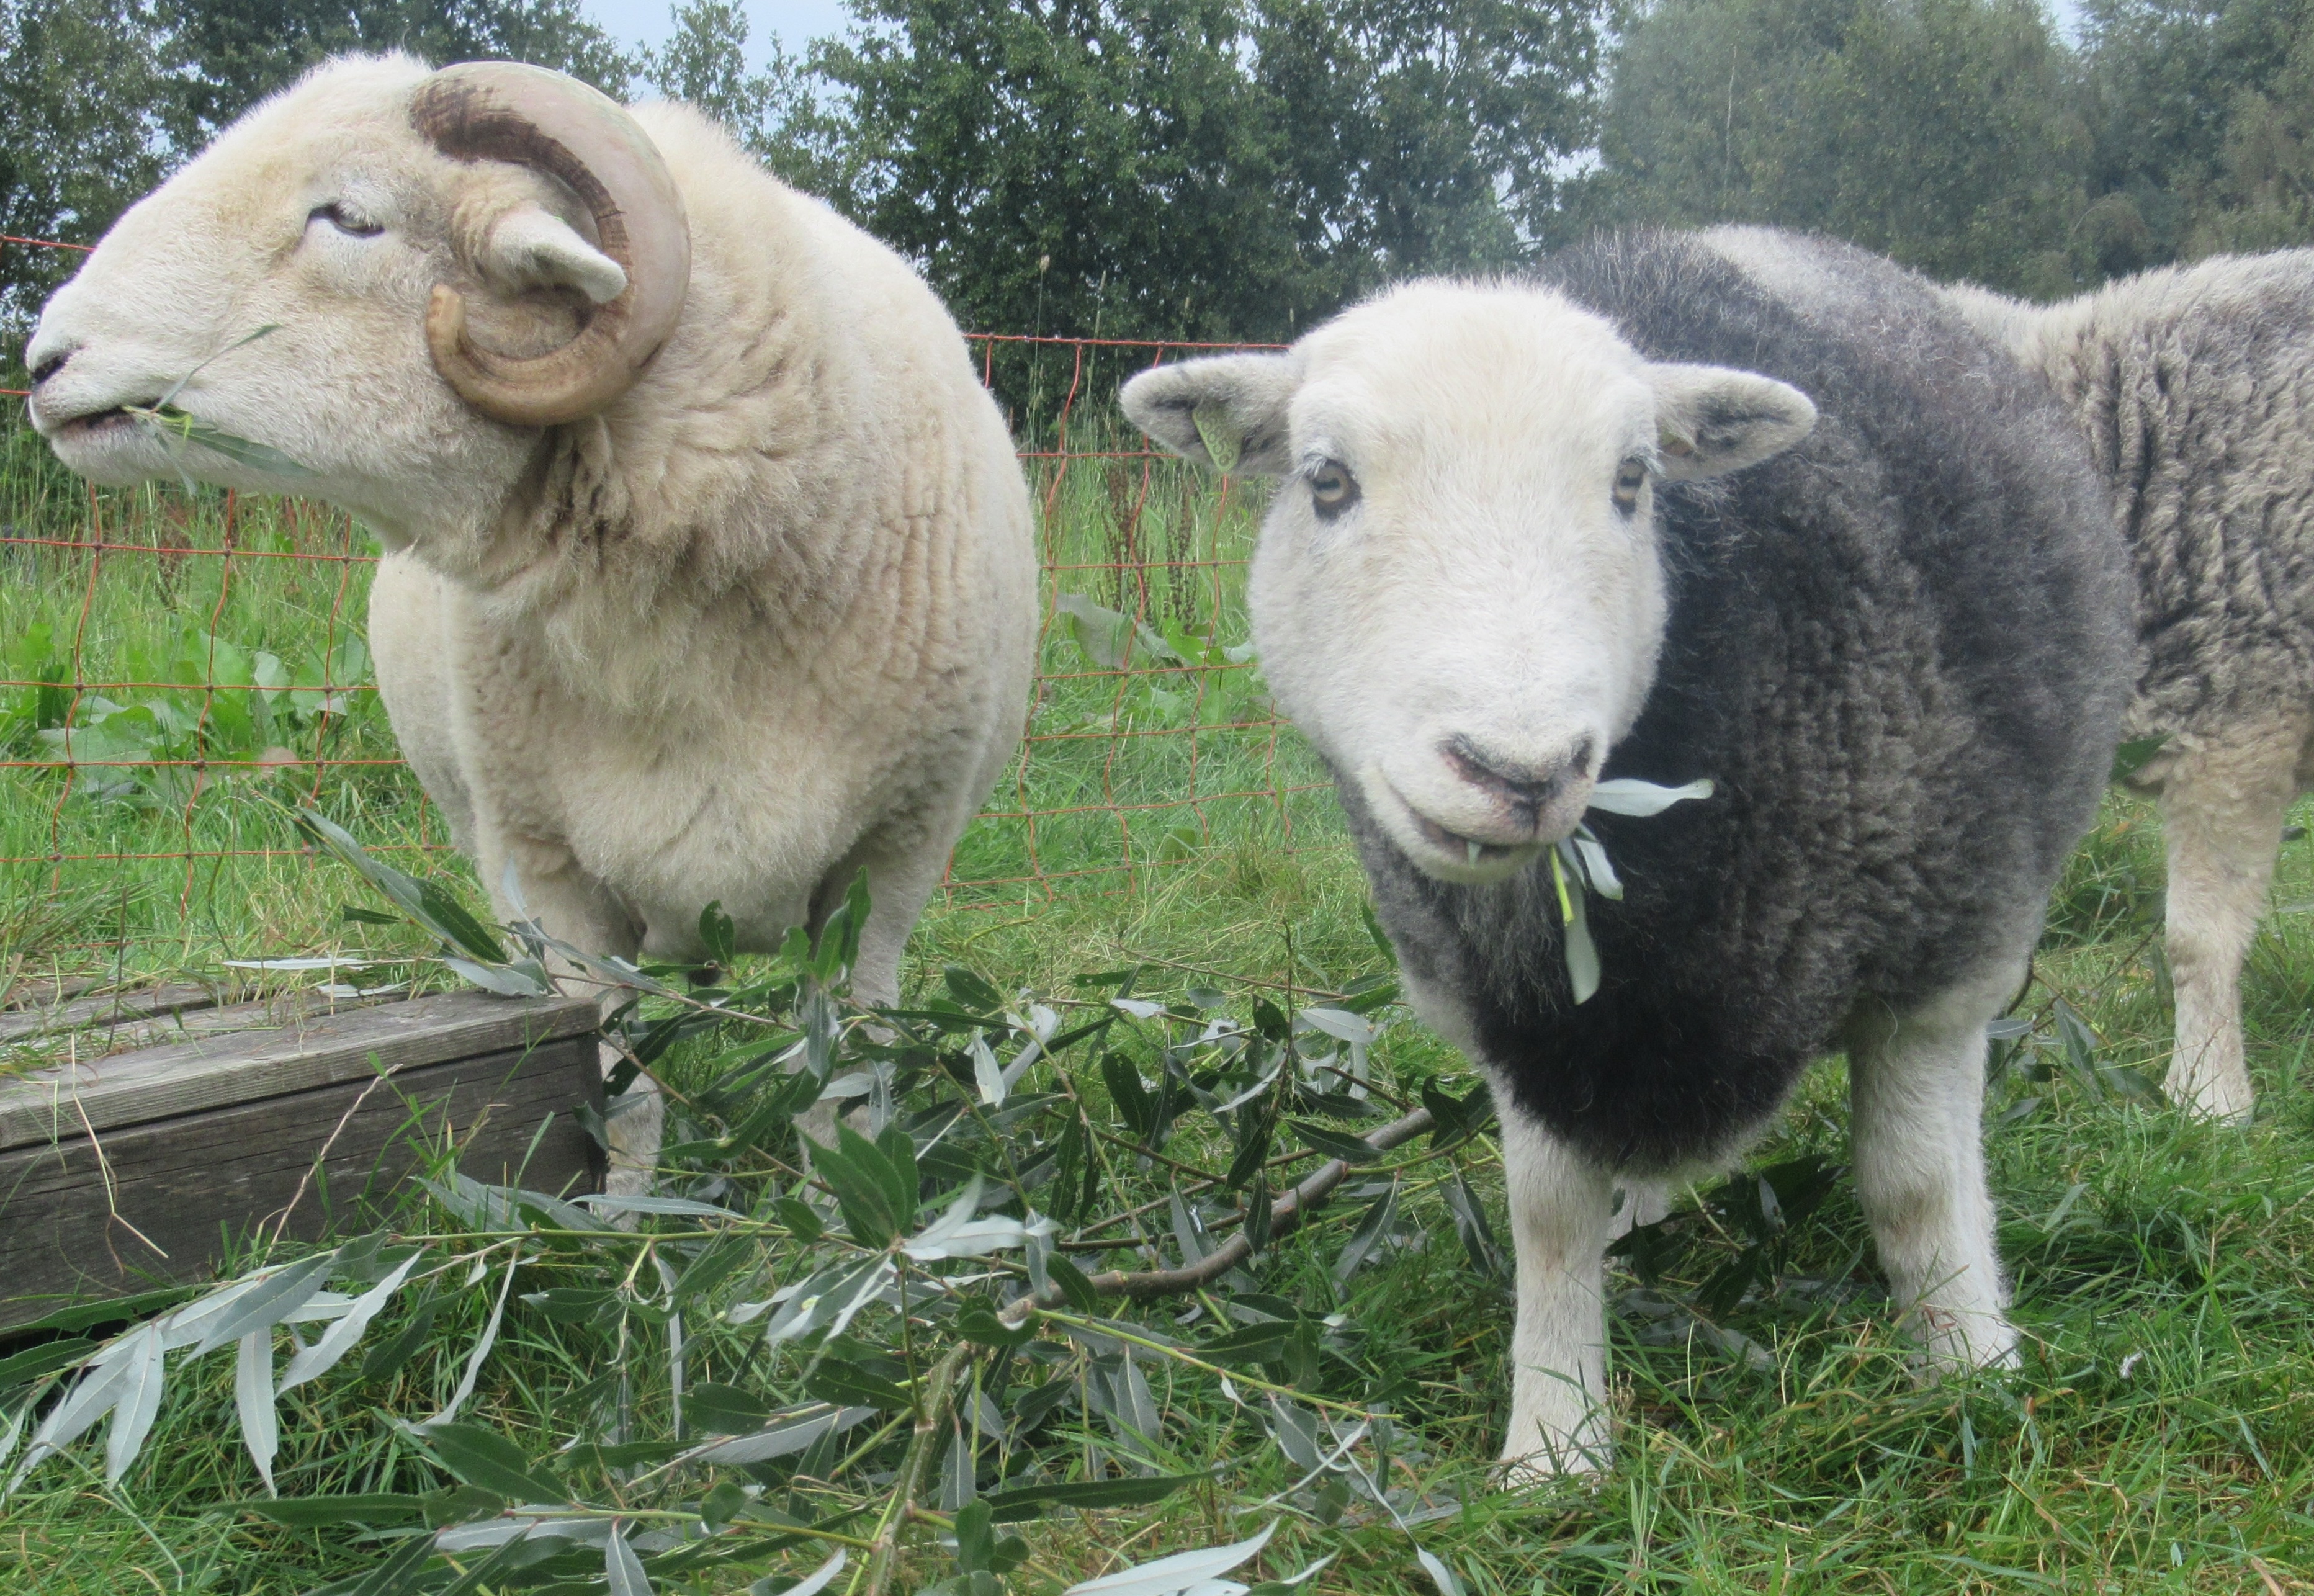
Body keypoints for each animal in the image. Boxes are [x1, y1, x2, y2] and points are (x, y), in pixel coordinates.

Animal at [25, 55, 1039, 1185]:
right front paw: (621, 1221)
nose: (44, 360)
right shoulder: (547, 876)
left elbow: (845, 1097)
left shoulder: (888, 864)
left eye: (351, 218)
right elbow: (619, 1101)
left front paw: (852, 1219)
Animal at [1122, 228, 2133, 1475]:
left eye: (1631, 480)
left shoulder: (1943, 953)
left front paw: (1972, 1379)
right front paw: (1554, 1448)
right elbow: (1548, 1222)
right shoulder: (1520, 1019)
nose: (1517, 769)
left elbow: (1912, 1186)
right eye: (1325, 480)